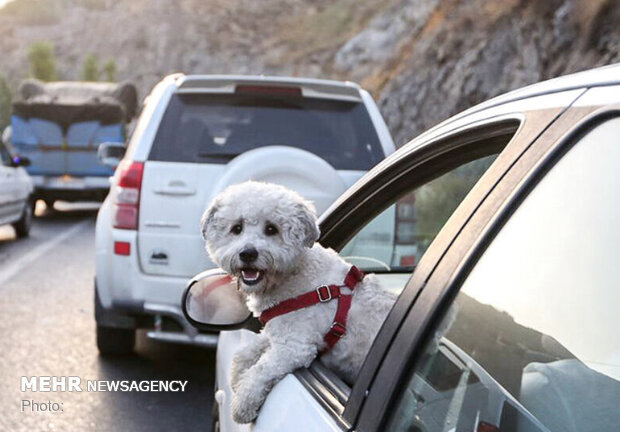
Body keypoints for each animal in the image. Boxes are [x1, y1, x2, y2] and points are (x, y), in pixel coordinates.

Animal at [203, 181, 398, 424]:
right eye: (237, 228)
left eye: (271, 229)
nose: (248, 253)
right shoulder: (279, 329)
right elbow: (245, 353)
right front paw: (237, 375)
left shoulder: (294, 347)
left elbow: (260, 371)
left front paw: (242, 404)